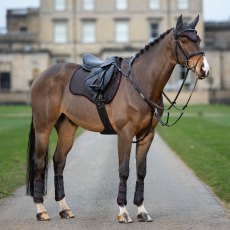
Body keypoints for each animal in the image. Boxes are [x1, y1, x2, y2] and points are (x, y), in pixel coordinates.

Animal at [26, 14, 209, 223]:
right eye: (184, 40)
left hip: (67, 129)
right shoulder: (125, 133)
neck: (141, 83)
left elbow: (141, 171)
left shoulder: (147, 135)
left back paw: (64, 208)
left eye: (199, 40)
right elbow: (124, 170)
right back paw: (41, 210)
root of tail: (40, 77)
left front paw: (141, 210)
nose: (204, 69)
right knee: (39, 163)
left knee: (58, 161)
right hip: (43, 128)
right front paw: (123, 211)